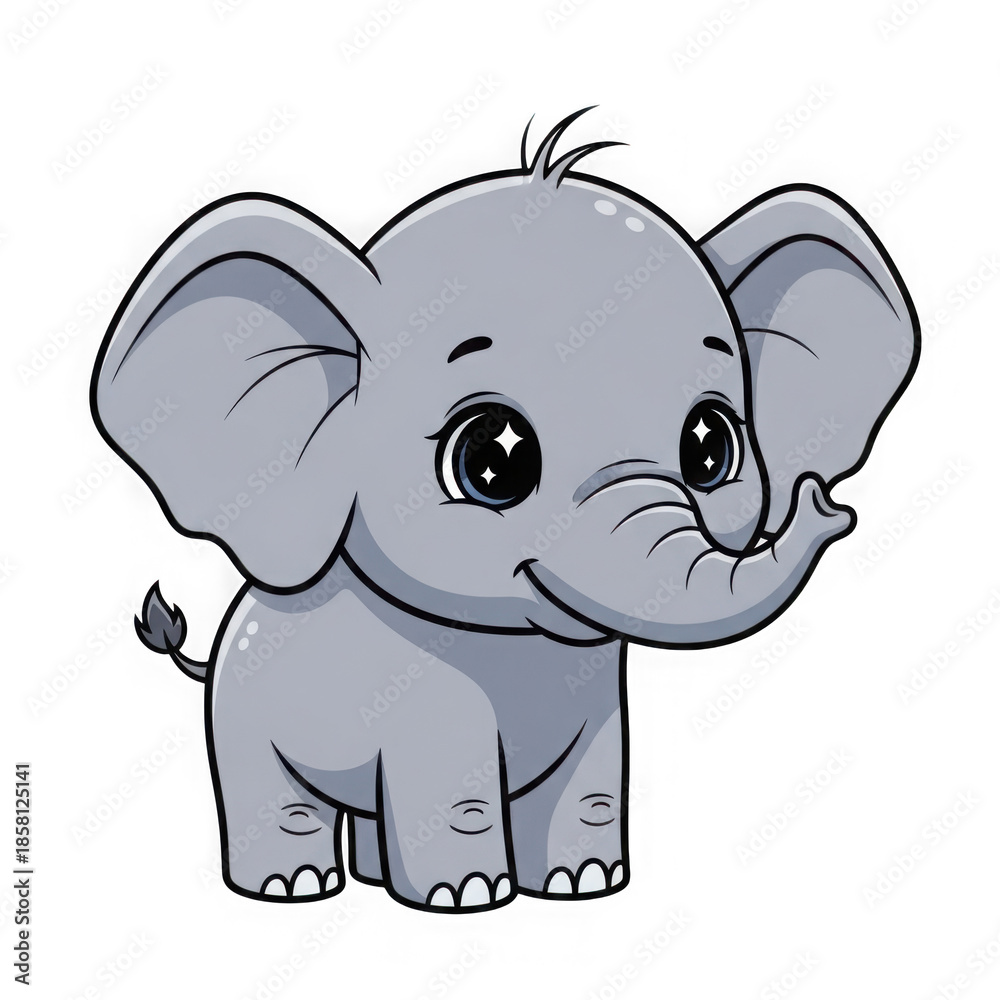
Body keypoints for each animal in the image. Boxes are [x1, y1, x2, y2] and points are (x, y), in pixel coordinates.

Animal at [91, 108, 919, 912]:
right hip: (242, 719)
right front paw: (466, 899)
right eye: (493, 457)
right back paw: (291, 888)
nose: (824, 501)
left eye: (710, 446)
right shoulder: (423, 694)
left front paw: (585, 885)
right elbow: (453, 789)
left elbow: (590, 784)